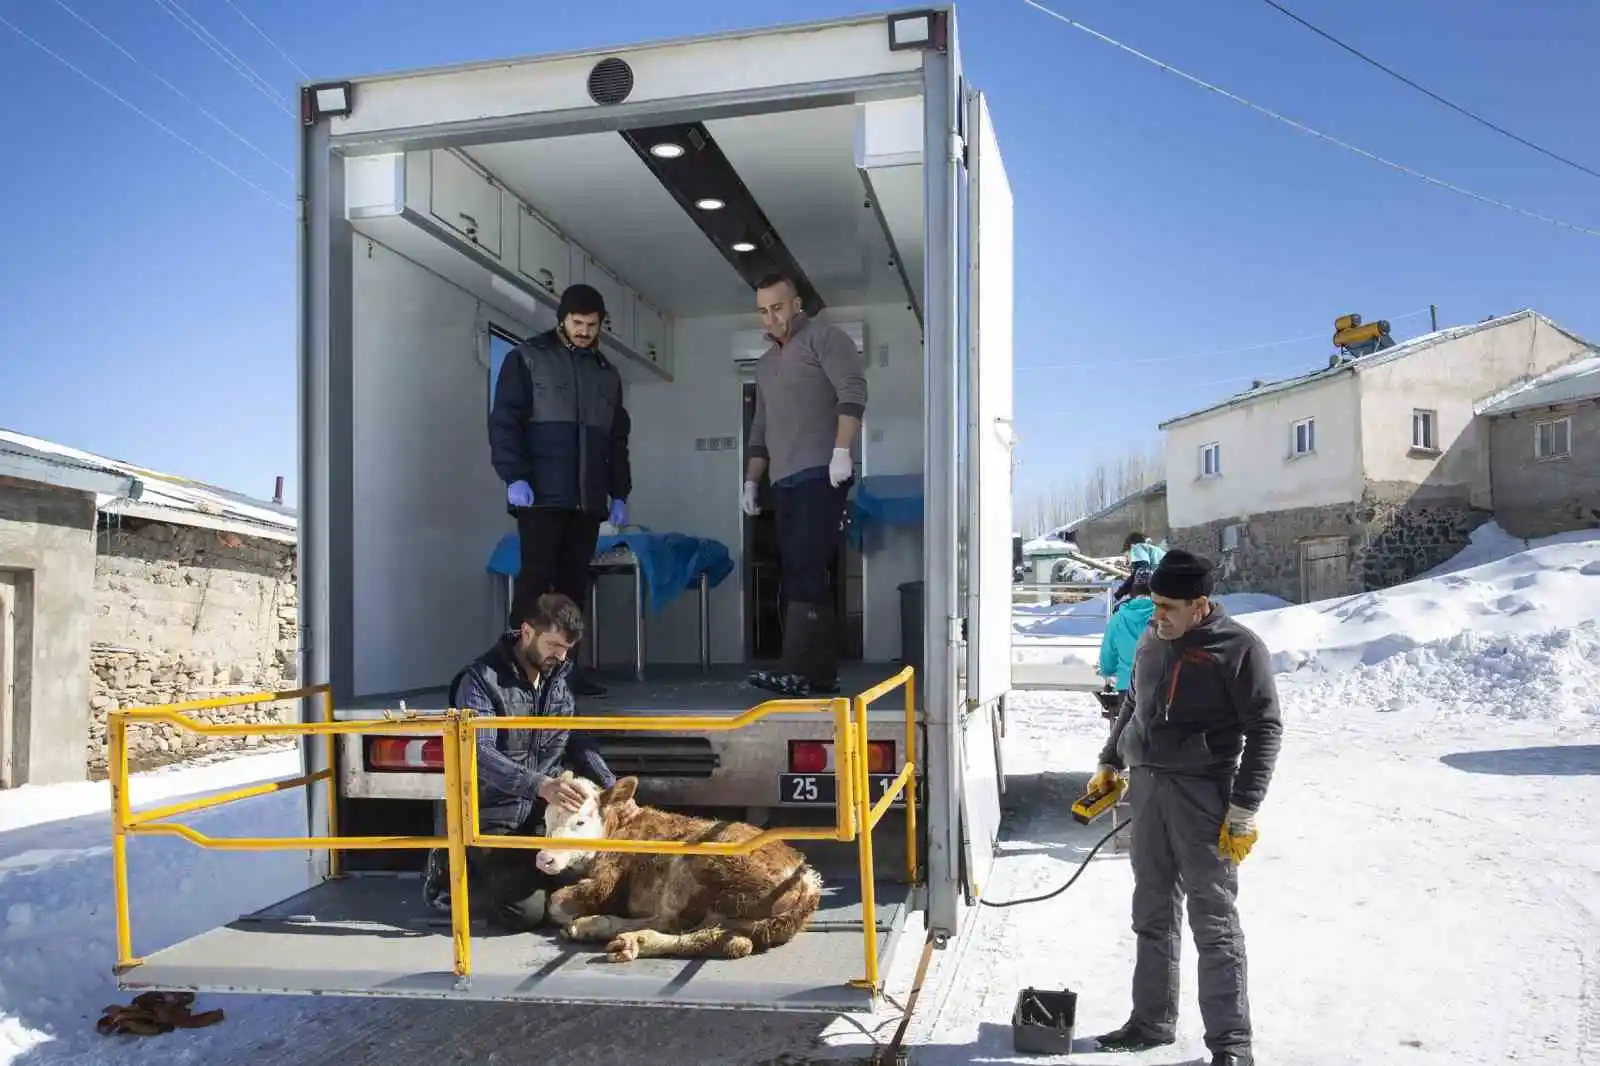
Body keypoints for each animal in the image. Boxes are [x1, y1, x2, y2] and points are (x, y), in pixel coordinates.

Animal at [537, 768, 825, 960]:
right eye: (547, 818)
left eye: (580, 822)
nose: (544, 858)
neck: (620, 827)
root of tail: (806, 877)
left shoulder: (608, 878)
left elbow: (556, 901)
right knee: (732, 942)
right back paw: (633, 940)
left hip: (691, 869)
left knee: (671, 920)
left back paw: (600, 929)